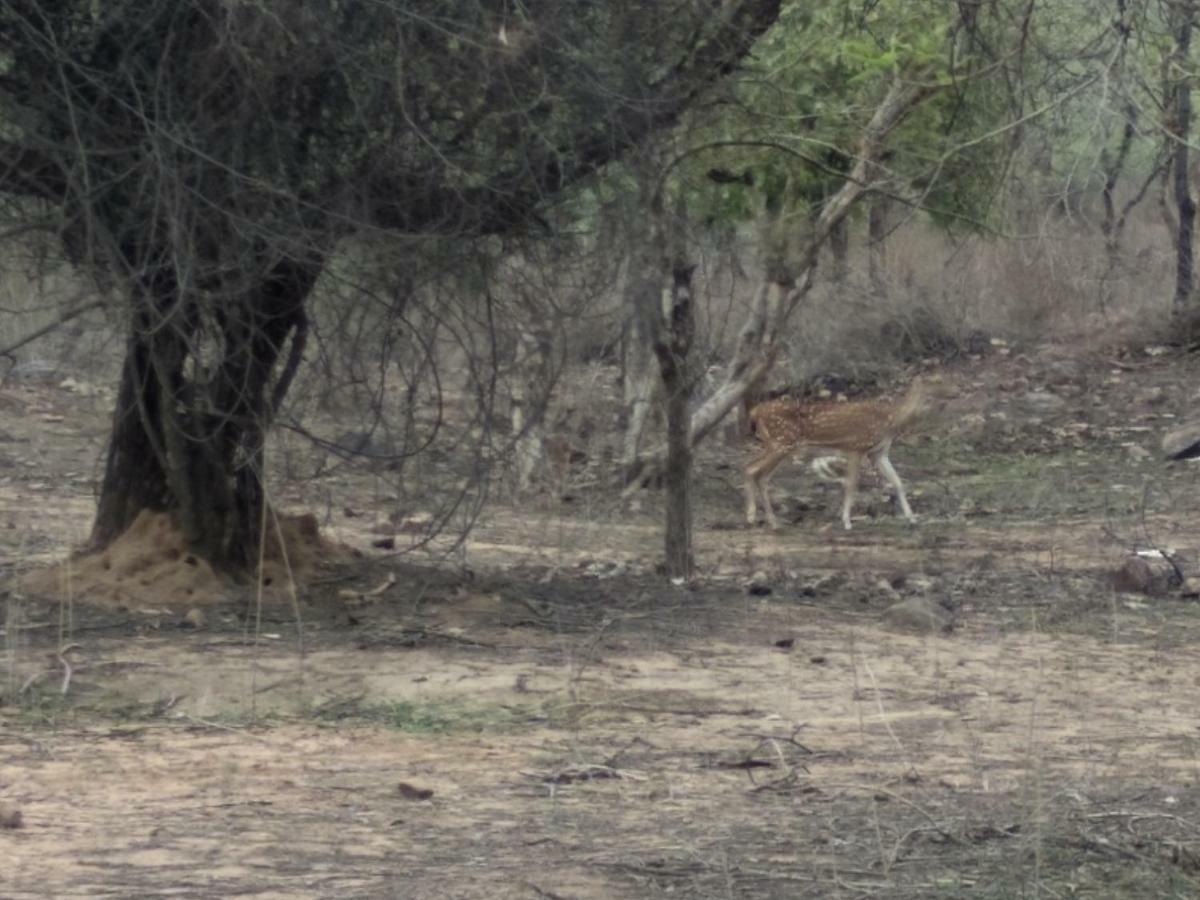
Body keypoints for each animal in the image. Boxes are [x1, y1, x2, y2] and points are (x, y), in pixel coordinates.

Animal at [744, 374, 950, 532]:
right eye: (937, 380)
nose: (952, 391)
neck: (891, 420)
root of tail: (754, 412)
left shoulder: (879, 452)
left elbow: (897, 481)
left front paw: (912, 518)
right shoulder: (855, 446)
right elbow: (851, 484)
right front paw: (847, 522)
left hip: (778, 445)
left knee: (755, 470)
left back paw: (769, 520)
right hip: (781, 443)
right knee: (754, 470)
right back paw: (756, 518)